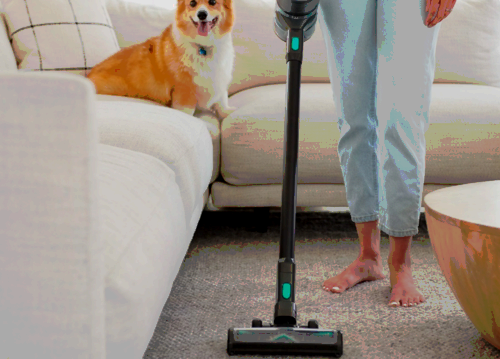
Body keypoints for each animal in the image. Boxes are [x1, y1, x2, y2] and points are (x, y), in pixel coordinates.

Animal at [87, 0, 237, 121]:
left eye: (212, 2)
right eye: (193, 3)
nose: (201, 15)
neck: (203, 47)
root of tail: (88, 76)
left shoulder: (220, 80)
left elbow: (222, 100)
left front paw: (228, 112)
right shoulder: (184, 92)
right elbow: (187, 112)